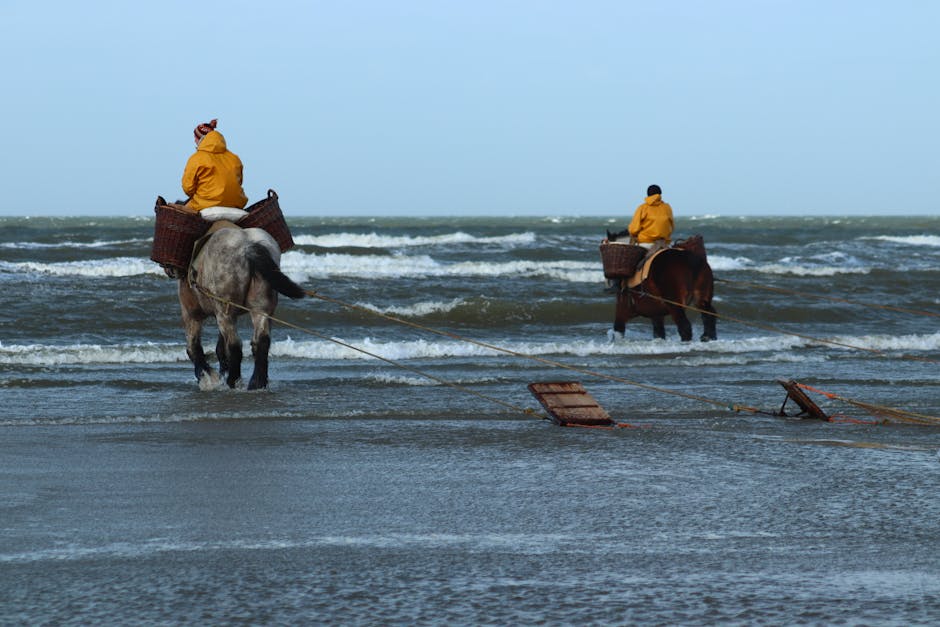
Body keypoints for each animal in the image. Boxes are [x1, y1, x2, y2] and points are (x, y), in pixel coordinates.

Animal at [177, 228, 304, 390]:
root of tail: (248, 246)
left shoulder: (191, 314)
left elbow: (193, 348)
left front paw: (208, 379)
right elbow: (219, 348)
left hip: (225, 312)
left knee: (234, 346)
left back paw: (233, 381)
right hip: (260, 307)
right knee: (261, 341)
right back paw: (257, 382)